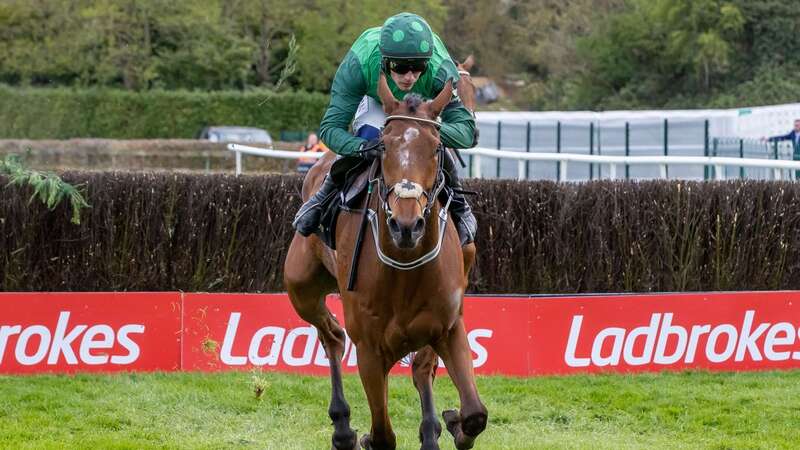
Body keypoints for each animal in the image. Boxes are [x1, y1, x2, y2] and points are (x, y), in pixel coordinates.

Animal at [288, 72, 488, 448]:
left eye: (436, 148)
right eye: (383, 147)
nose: (406, 224)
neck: (404, 267)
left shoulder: (449, 327)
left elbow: (474, 415)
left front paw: (452, 422)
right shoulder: (369, 348)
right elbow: (382, 434)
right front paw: (364, 435)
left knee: (420, 368)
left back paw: (430, 429)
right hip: (300, 287)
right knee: (333, 335)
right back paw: (342, 427)